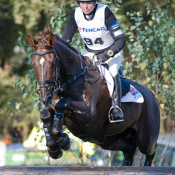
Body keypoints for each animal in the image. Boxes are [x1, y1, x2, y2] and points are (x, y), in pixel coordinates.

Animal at [27, 26, 160, 166]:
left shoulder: (88, 114)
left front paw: (63, 141)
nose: (44, 97)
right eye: (33, 64)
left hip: (145, 138)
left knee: (150, 150)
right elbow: (46, 114)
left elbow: (61, 104)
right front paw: (54, 148)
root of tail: (152, 96)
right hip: (109, 140)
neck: (74, 79)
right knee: (129, 149)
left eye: (52, 63)